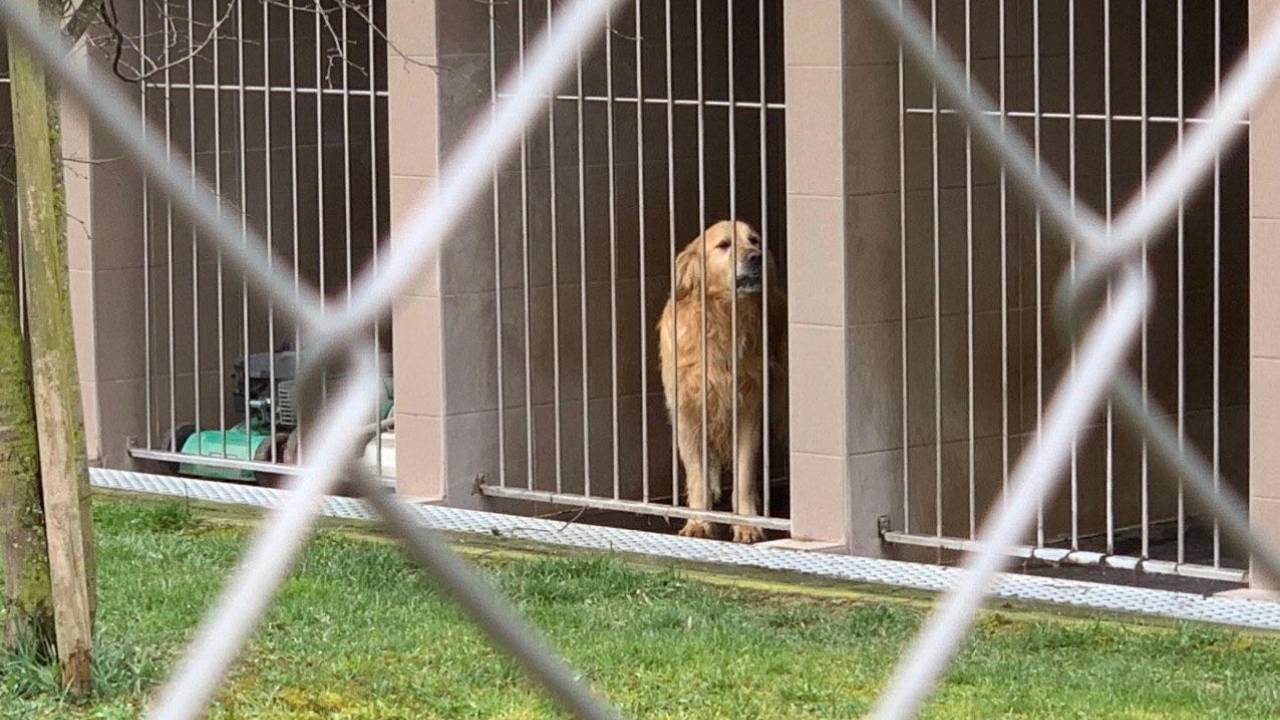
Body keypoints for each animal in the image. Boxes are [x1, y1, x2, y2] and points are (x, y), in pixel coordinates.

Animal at [658, 220, 786, 543]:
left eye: (754, 240)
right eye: (724, 245)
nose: (756, 257)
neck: (721, 319)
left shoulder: (748, 410)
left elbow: (744, 475)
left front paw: (747, 524)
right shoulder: (686, 413)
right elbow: (696, 475)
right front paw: (698, 522)